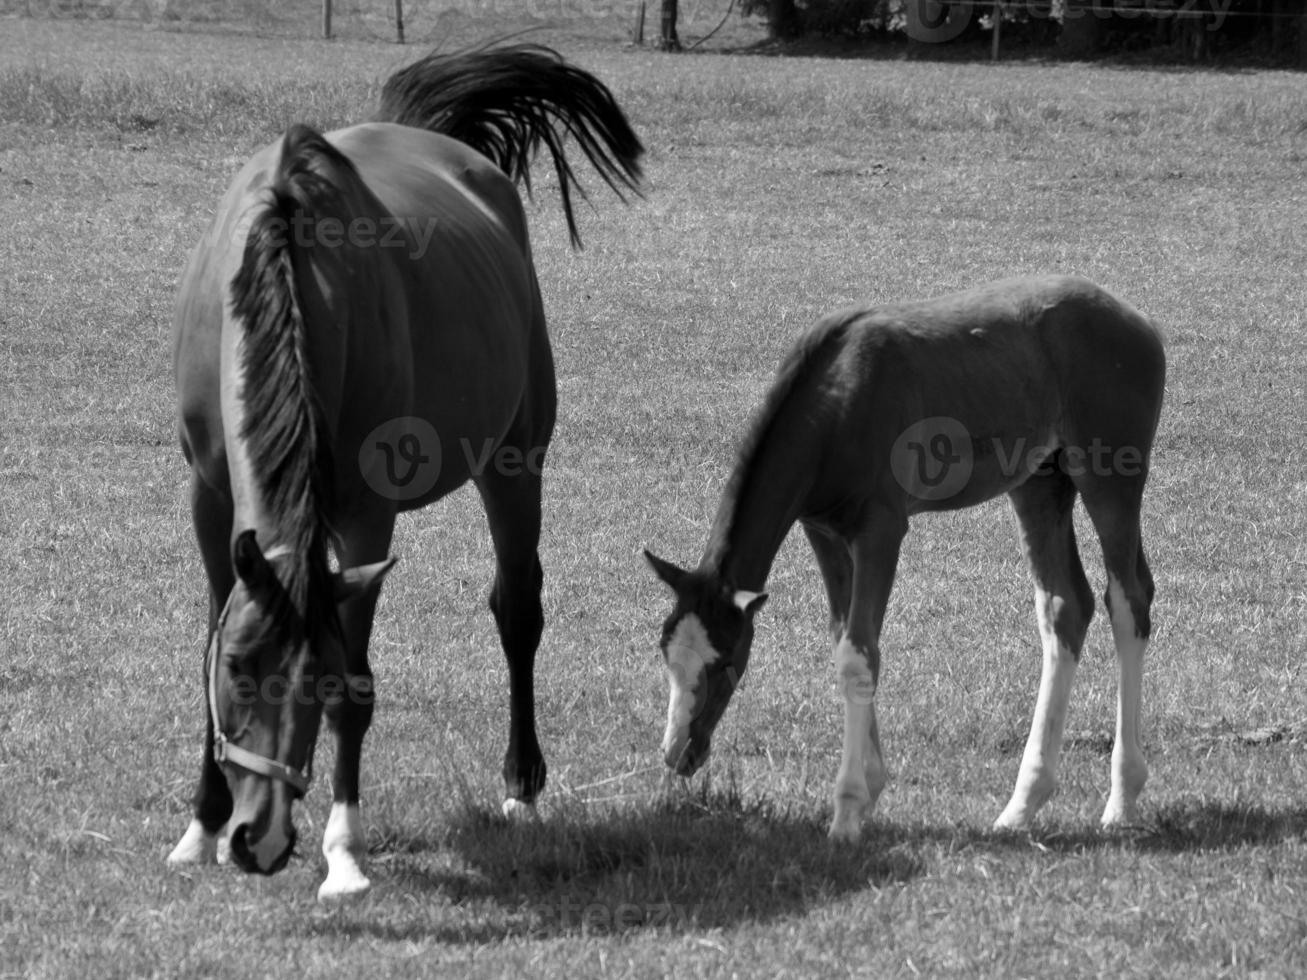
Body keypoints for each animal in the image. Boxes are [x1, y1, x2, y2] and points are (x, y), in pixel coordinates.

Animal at [165, 48, 645, 904]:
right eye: (240, 673)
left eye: (314, 682)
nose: (261, 838)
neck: (289, 270)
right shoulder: (209, 496)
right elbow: (206, 638)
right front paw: (198, 829)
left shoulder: (364, 515)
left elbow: (359, 687)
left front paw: (344, 855)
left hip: (516, 461)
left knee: (517, 608)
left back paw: (521, 787)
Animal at [648, 277, 1171, 846]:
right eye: (666, 657)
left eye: (724, 666)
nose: (678, 754)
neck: (837, 402)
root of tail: (1138, 319)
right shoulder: (824, 531)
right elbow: (847, 640)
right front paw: (870, 789)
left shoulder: (881, 530)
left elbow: (860, 655)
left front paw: (847, 813)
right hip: (1040, 483)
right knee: (1066, 607)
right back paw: (1021, 806)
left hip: (1109, 481)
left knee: (1128, 600)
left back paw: (1121, 800)